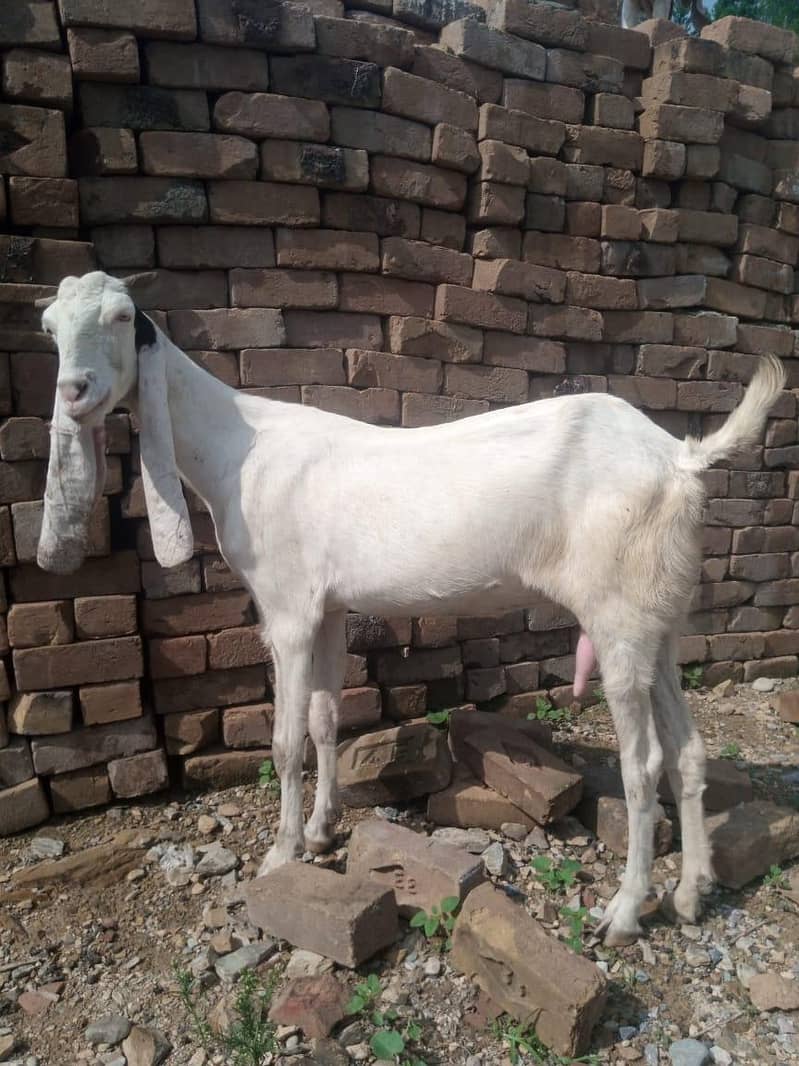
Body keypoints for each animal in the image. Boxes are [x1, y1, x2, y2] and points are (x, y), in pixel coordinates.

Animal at [36, 271, 784, 946]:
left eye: (120, 317)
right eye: (49, 328)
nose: (74, 392)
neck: (238, 447)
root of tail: (682, 458)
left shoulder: (287, 607)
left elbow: (284, 740)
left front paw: (281, 853)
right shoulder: (328, 607)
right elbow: (324, 721)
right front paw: (321, 830)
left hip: (618, 614)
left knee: (643, 763)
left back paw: (626, 912)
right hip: (659, 612)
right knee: (687, 749)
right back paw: (691, 892)